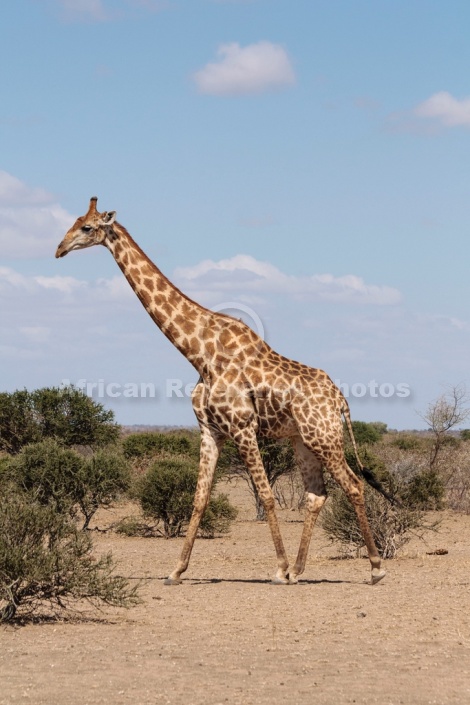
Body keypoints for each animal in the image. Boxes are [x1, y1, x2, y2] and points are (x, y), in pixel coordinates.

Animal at [55, 197, 388, 584]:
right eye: (73, 222)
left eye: (87, 227)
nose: (59, 249)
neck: (199, 354)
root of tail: (340, 400)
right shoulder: (209, 430)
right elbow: (199, 498)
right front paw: (176, 570)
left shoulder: (243, 428)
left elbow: (266, 495)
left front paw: (278, 568)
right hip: (303, 439)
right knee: (316, 494)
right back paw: (300, 570)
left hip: (325, 436)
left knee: (353, 484)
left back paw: (374, 568)